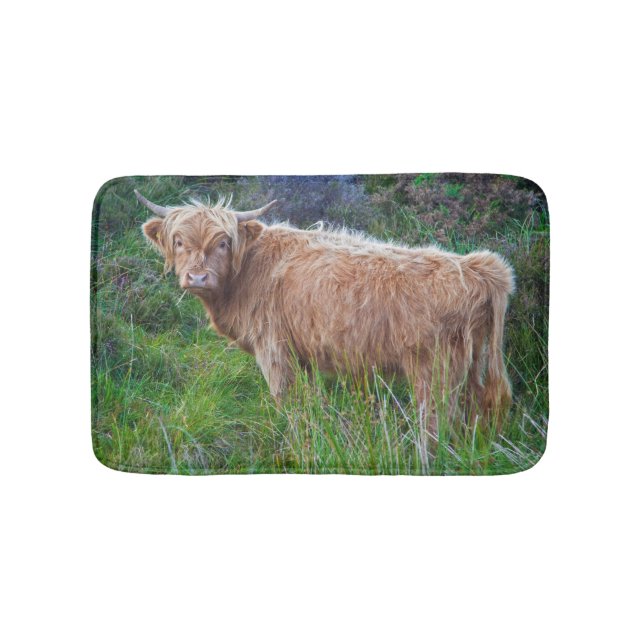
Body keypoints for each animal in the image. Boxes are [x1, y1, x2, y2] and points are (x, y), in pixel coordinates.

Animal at [136, 190, 515, 442]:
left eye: (223, 243)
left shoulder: (273, 350)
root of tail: (478, 266)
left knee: (437, 422)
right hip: (473, 362)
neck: (247, 273)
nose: (197, 277)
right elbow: (310, 402)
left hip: (435, 370)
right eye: (179, 242)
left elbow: (287, 403)